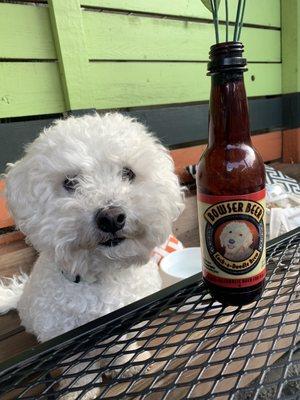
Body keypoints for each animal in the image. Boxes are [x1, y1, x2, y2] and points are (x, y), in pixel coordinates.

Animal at [0, 113, 184, 400]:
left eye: (128, 173)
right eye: (69, 182)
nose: (111, 217)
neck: (103, 276)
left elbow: (122, 345)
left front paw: (128, 364)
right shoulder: (66, 336)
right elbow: (79, 366)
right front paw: (78, 391)